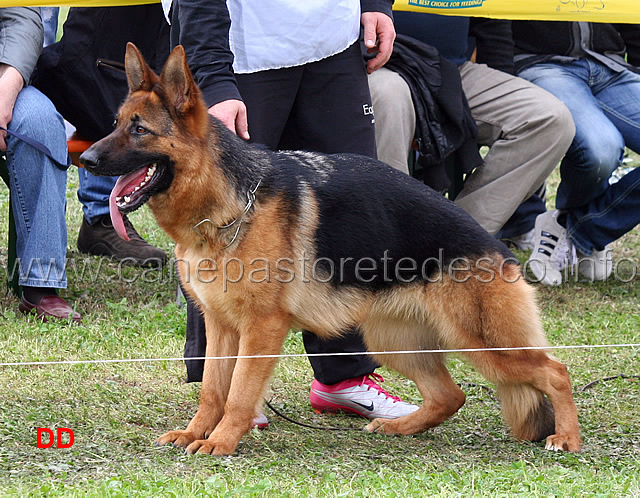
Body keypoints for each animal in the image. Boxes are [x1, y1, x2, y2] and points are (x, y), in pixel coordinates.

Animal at [80, 44, 580, 458]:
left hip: (482, 343)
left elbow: (239, 392)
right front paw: (195, 432)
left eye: (139, 130)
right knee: (450, 395)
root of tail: (496, 247)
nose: (84, 159)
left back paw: (567, 439)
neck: (229, 206)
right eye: (116, 124)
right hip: (394, 341)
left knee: (555, 370)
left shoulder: (261, 330)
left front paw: (221, 441)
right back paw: (400, 428)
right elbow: (212, 389)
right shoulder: (221, 327)